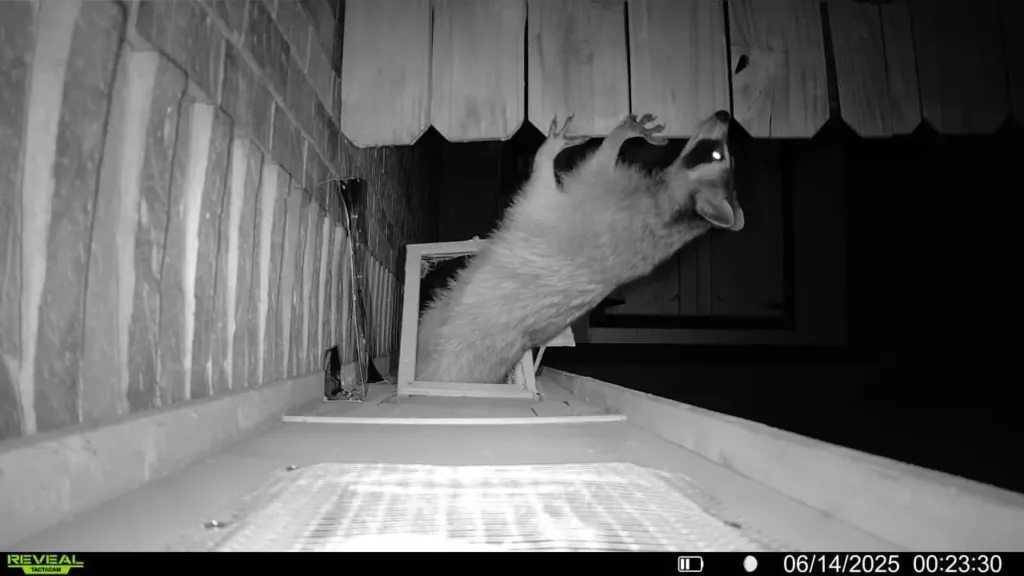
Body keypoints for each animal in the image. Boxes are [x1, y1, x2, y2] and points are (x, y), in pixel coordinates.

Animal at [416, 110, 744, 384]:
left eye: (717, 154)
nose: (725, 114)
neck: (678, 213)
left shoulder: (581, 205)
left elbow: (551, 175)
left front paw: (577, 145)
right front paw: (627, 133)